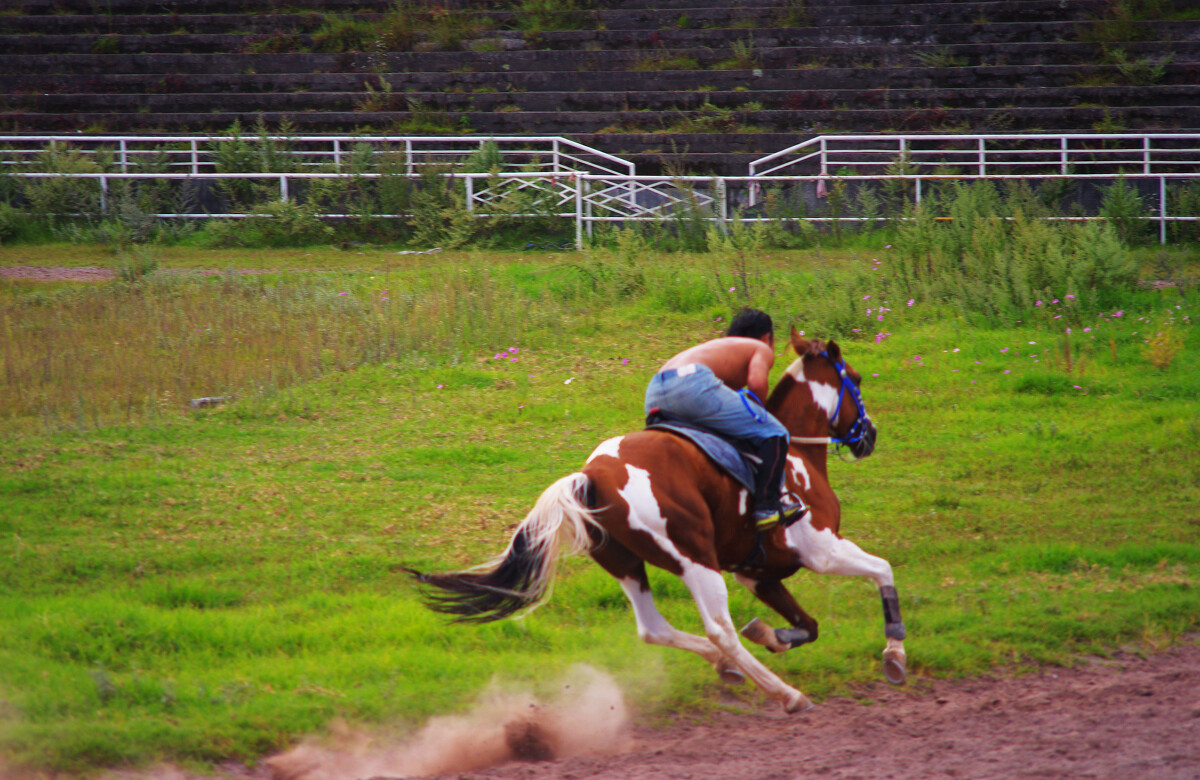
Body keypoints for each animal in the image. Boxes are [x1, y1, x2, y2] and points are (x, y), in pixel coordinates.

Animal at [412, 328, 907, 710]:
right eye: (856, 379)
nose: (869, 436)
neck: (800, 451)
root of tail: (591, 474)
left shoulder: (758, 573)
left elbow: (807, 625)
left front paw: (772, 633)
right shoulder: (821, 550)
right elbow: (882, 570)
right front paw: (894, 652)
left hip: (625, 562)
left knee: (653, 628)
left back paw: (728, 667)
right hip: (695, 558)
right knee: (720, 629)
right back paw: (785, 693)